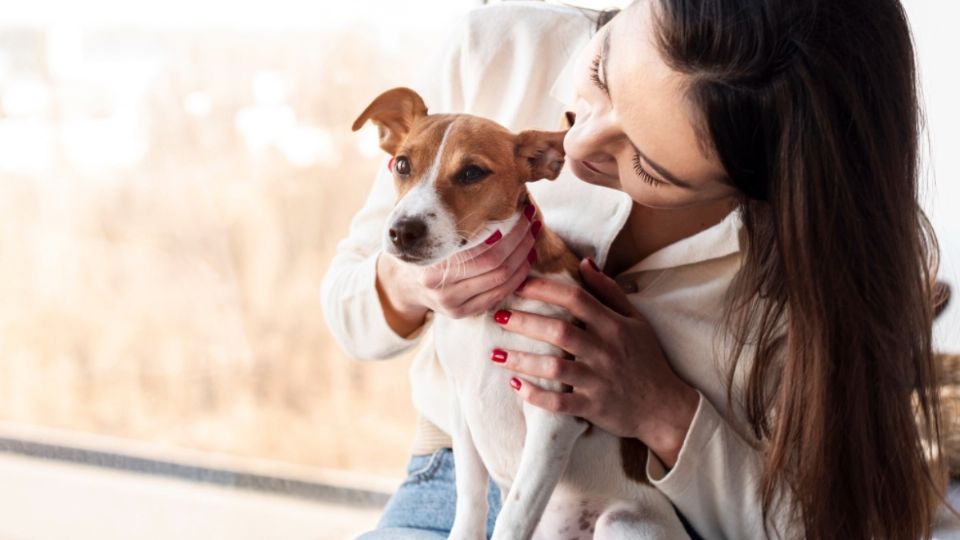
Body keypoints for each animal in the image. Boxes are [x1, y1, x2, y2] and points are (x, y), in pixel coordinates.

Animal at [350, 87, 684, 540]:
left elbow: (514, 516)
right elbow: (471, 499)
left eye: (472, 173)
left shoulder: (553, 418)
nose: (402, 231)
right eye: (402, 164)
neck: (490, 315)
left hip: (622, 523)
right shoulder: (463, 410)